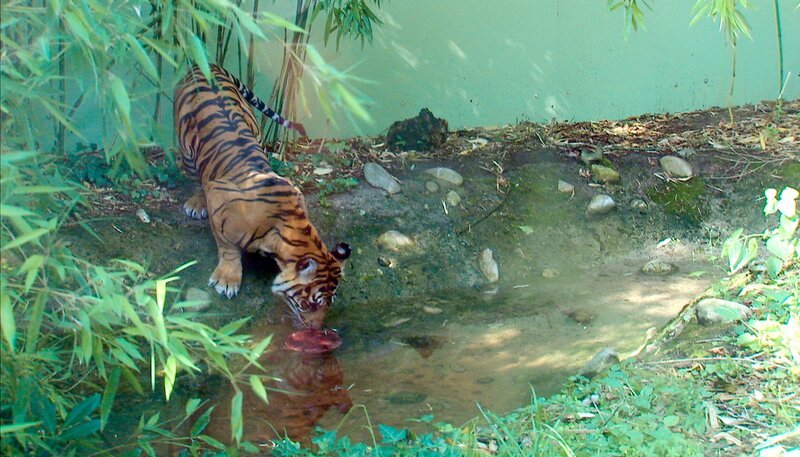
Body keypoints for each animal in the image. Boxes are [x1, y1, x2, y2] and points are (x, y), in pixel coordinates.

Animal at [174, 64, 350, 329]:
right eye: (309, 303)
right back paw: (196, 204)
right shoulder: (218, 198)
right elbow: (227, 247)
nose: (315, 328)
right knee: (194, 178)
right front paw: (227, 280)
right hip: (186, 150)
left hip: (253, 126)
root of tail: (206, 65)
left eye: (330, 303)